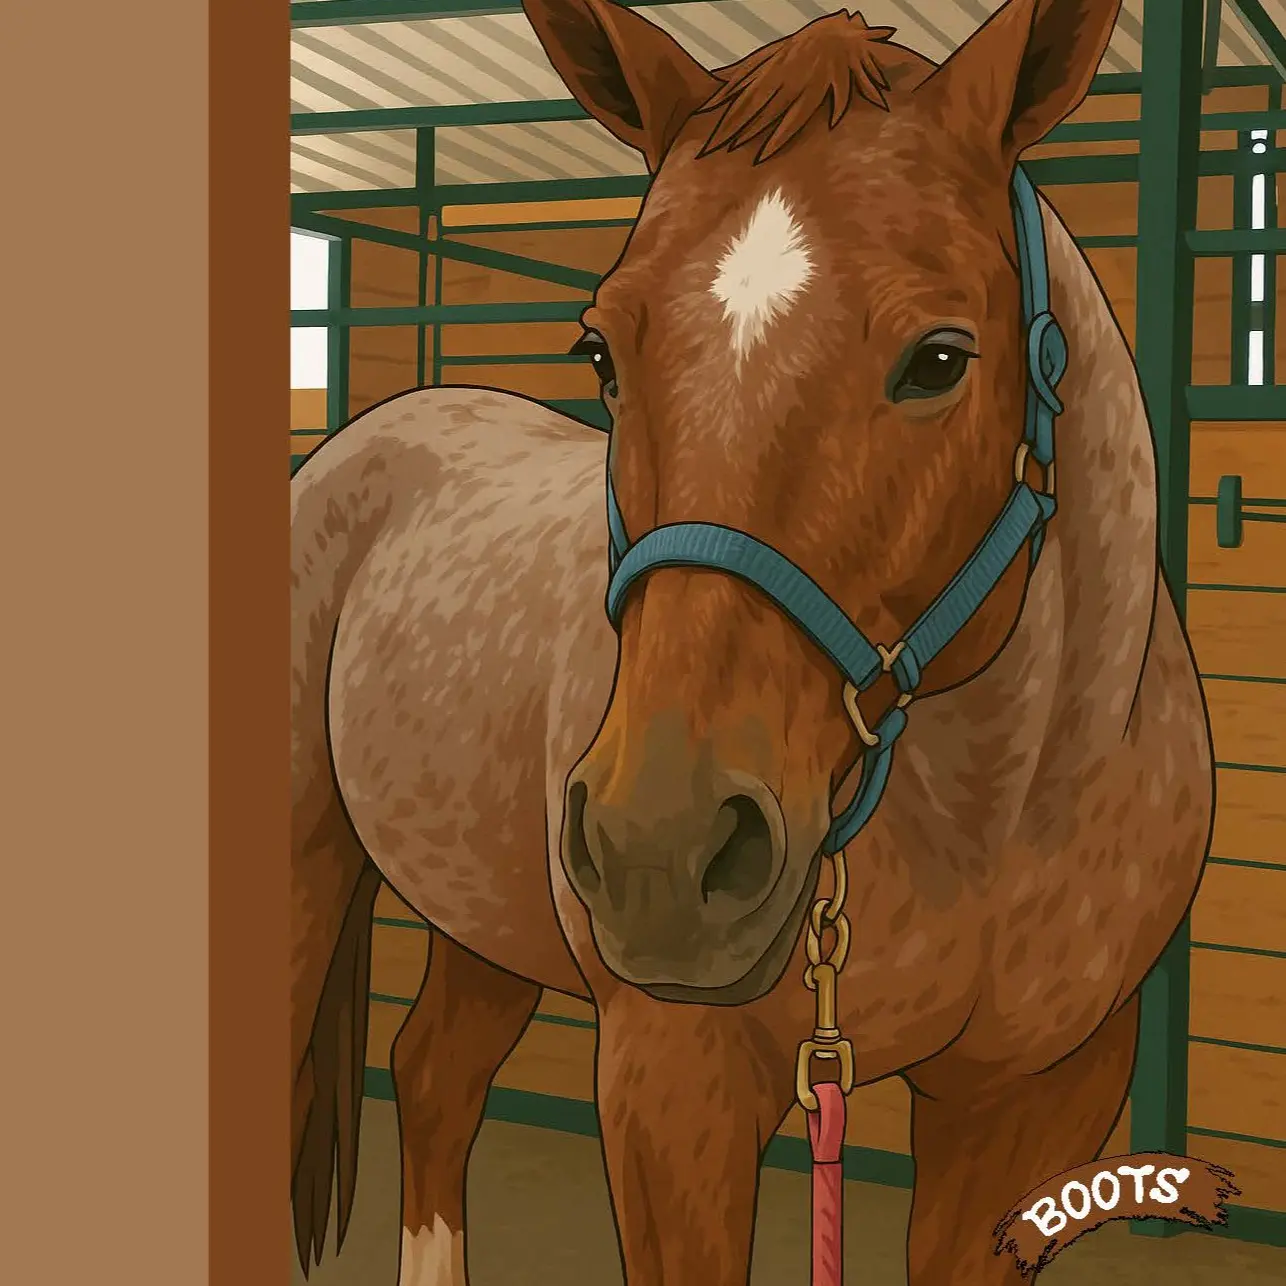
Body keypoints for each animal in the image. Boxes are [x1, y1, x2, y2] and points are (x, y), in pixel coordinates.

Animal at [289, 0, 1216, 1282]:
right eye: (600, 350)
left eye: (939, 357)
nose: (657, 852)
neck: (986, 812)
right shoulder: (674, 1086)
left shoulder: (1031, 1102)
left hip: (485, 907)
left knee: (432, 1073)